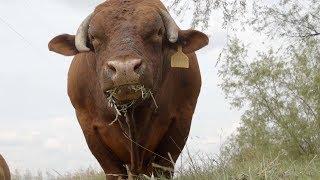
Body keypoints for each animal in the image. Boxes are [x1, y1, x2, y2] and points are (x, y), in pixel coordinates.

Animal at [47, 0, 208, 179]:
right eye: (93, 37)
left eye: (159, 32)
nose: (124, 69)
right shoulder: (90, 128)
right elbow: (114, 170)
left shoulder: (181, 120)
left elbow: (163, 167)